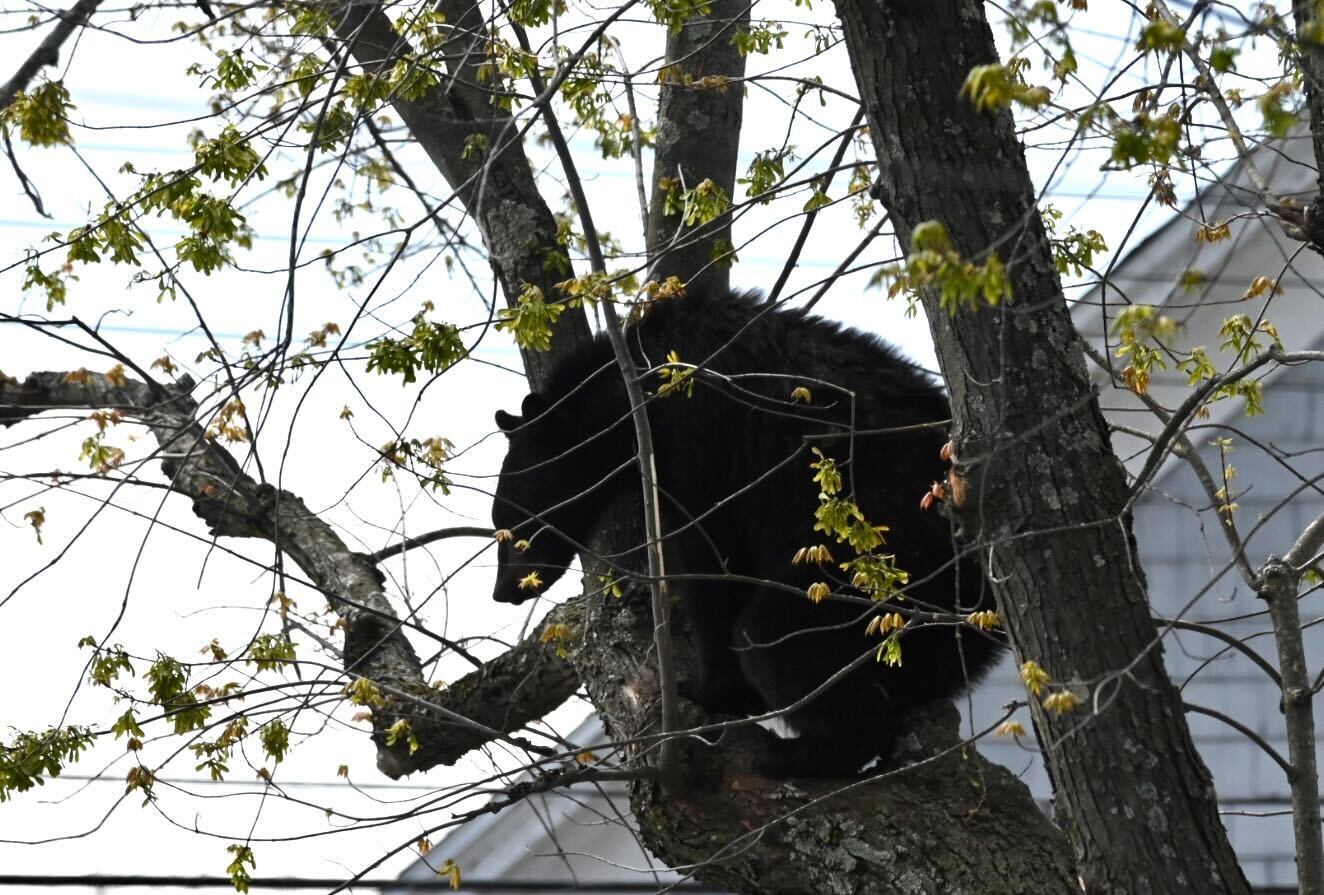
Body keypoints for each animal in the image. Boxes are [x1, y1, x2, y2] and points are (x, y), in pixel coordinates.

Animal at [490, 288, 1004, 778]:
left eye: (508, 526)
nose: (502, 592)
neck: (629, 397)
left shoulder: (698, 444)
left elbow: (711, 563)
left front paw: (708, 689)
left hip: (869, 557)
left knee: (771, 636)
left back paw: (799, 755)